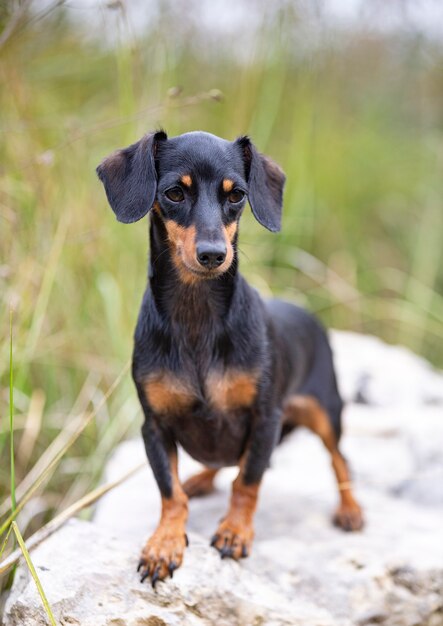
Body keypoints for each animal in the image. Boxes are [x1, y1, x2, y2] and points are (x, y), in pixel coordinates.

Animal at [97, 129, 364, 588]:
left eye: (236, 195)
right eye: (174, 192)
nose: (213, 254)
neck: (197, 317)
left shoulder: (265, 417)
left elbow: (248, 482)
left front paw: (235, 531)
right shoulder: (155, 426)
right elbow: (170, 492)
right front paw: (164, 543)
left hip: (325, 411)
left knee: (338, 458)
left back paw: (350, 508)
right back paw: (201, 478)